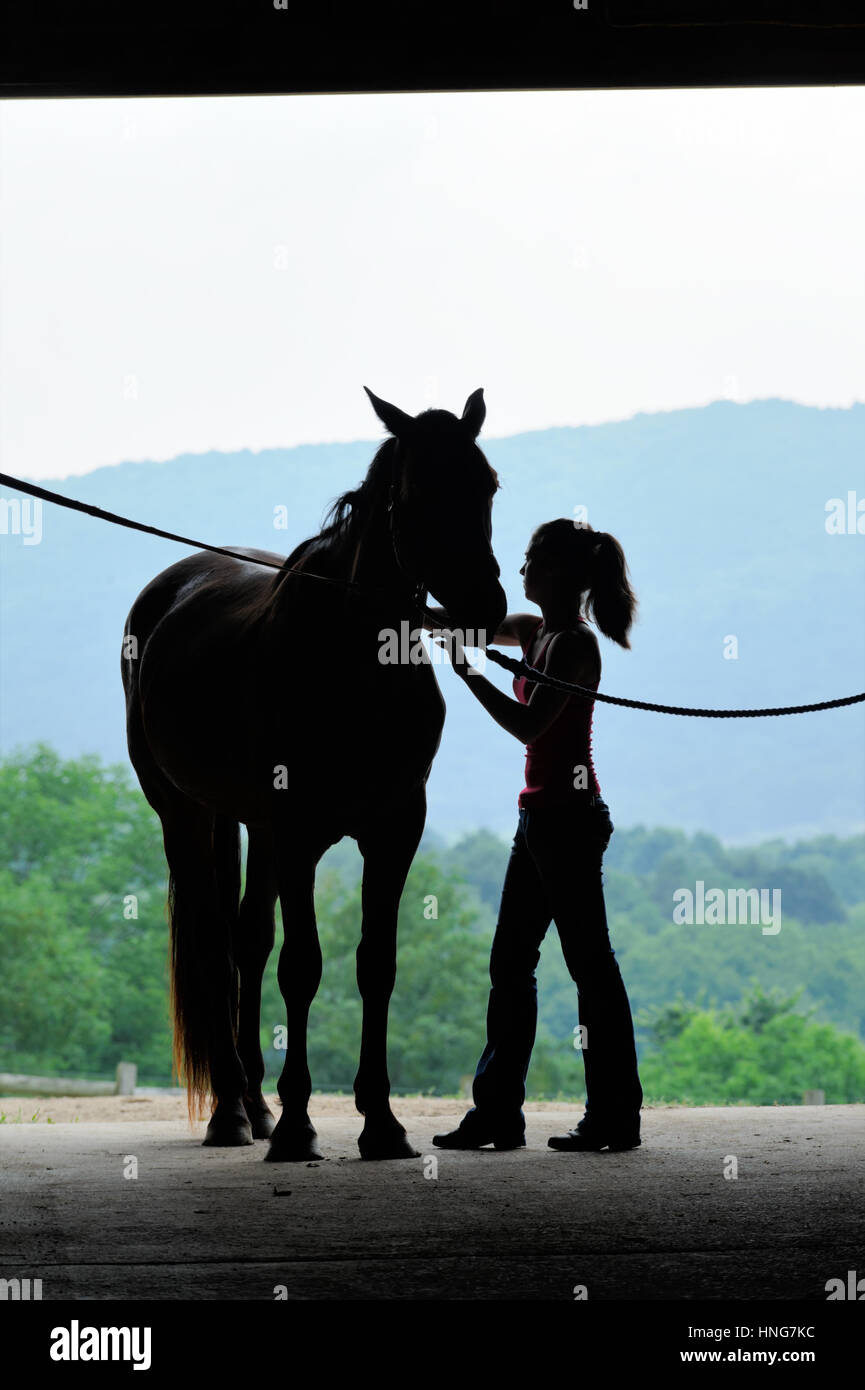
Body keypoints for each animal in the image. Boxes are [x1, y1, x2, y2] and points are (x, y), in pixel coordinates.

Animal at [122, 389, 508, 1162]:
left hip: (255, 827)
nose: (485, 607)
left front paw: (381, 1123)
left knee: (246, 940)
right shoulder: (300, 831)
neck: (353, 662)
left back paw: (253, 1105)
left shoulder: (394, 829)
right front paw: (301, 1125)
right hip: (184, 812)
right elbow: (302, 967)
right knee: (214, 945)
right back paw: (231, 1114)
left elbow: (375, 964)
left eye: (487, 485)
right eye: (416, 494)